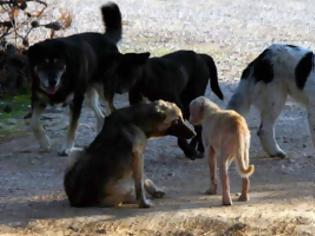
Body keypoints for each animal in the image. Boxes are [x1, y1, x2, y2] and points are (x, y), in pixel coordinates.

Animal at [27, 3, 149, 157]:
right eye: (42, 64)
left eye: (58, 64)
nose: (52, 81)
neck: (63, 80)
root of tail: (106, 38)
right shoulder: (38, 98)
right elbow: (34, 122)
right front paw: (44, 143)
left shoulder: (76, 100)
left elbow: (73, 126)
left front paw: (67, 147)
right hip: (90, 94)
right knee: (101, 116)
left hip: (103, 90)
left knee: (111, 111)